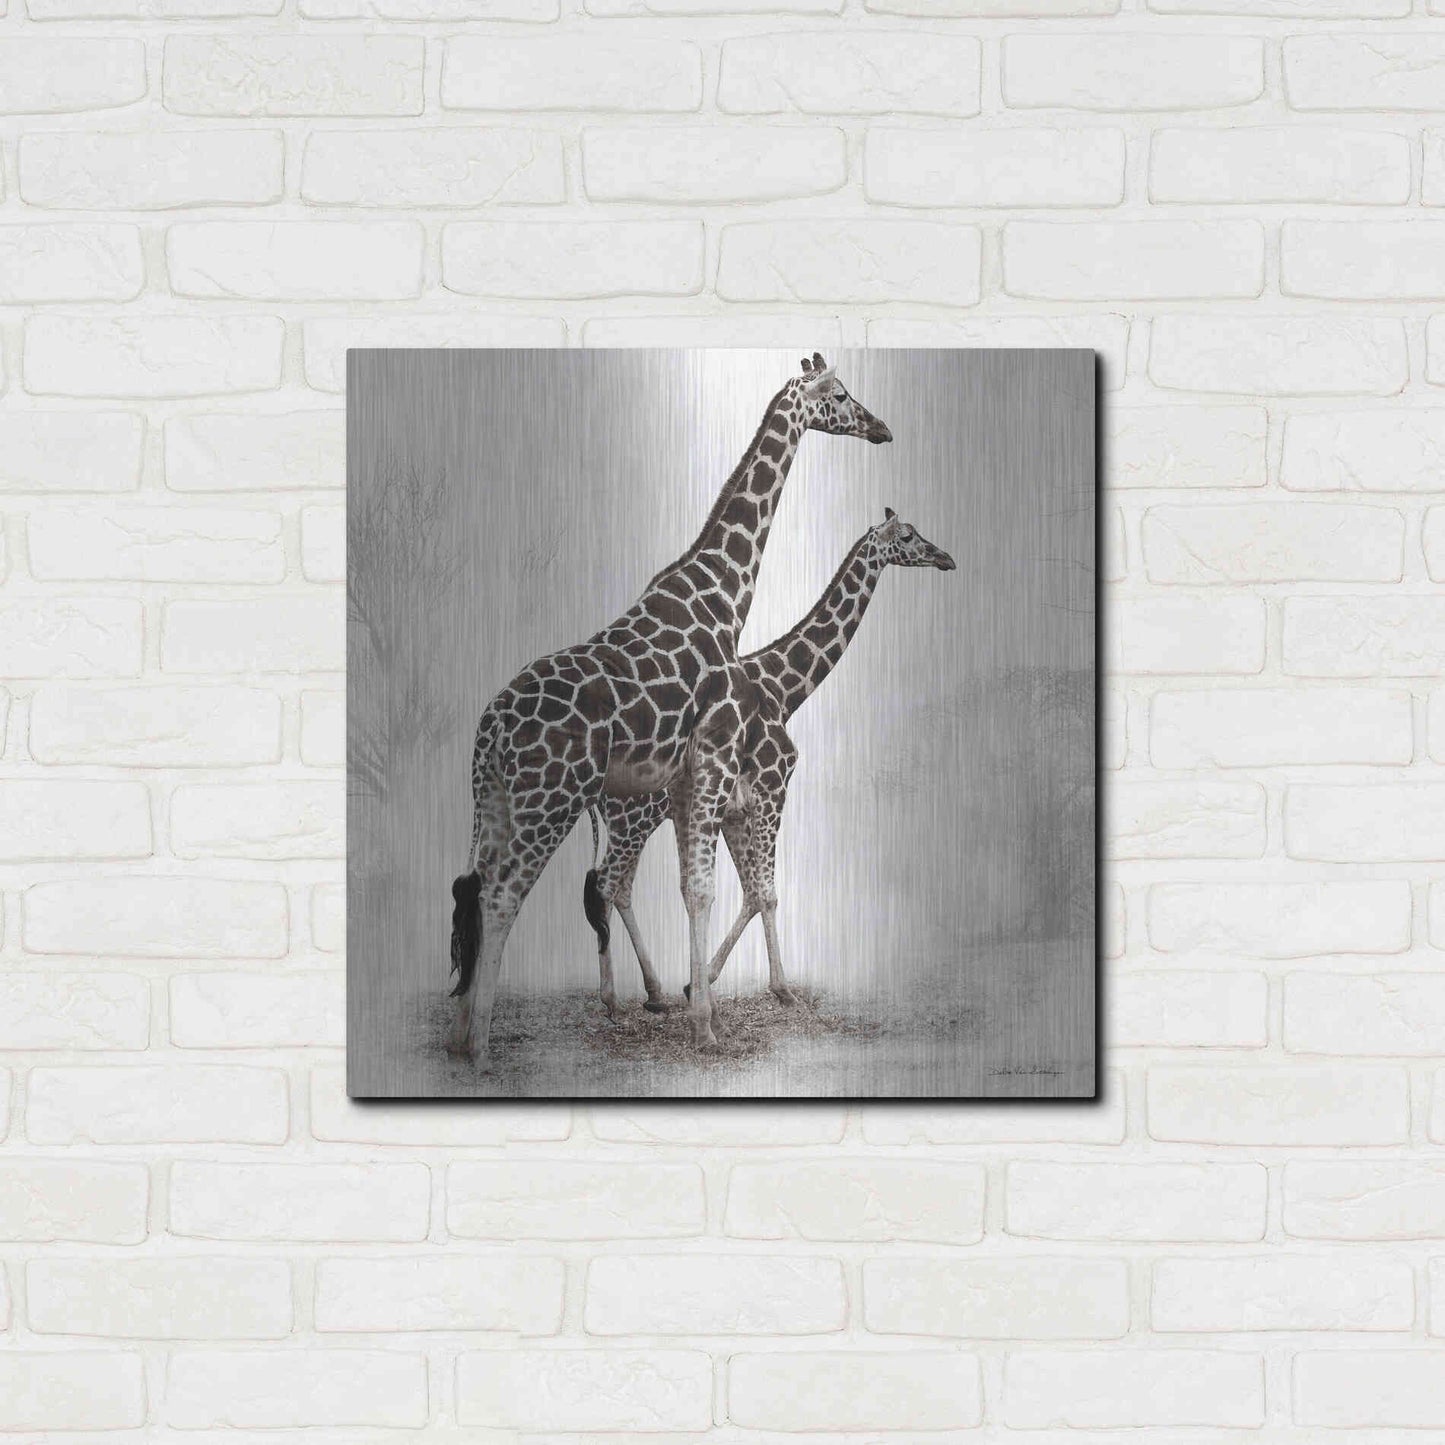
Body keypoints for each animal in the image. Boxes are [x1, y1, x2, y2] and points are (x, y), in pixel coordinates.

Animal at [449, 354, 891, 1063]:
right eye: (842, 394)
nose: (881, 429)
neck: (722, 595)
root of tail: (489, 728)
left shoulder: (693, 779)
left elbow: (699, 888)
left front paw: (697, 1005)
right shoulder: (716, 760)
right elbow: (712, 888)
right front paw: (706, 1023)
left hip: (495, 801)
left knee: (482, 885)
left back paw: (464, 1032)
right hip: (551, 802)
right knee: (505, 897)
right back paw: (485, 1047)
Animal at [585, 508, 955, 1018]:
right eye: (907, 536)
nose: (946, 558)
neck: (785, 690)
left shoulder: (737, 810)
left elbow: (750, 893)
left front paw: (699, 983)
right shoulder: (773, 789)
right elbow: (767, 893)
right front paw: (781, 989)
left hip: (635, 822)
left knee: (619, 887)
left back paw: (654, 993)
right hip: (633, 819)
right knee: (606, 884)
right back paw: (612, 997)